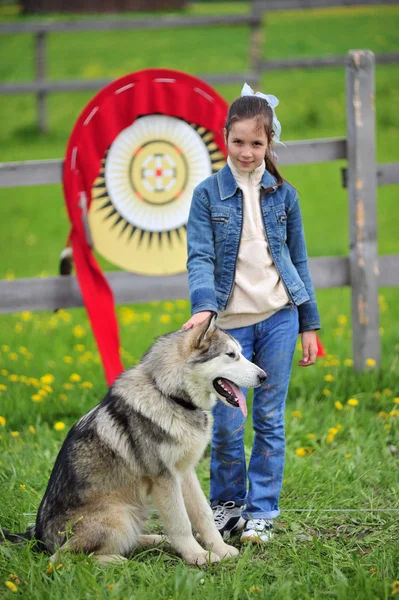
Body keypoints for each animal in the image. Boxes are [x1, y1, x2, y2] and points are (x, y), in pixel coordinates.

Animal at [3, 316, 268, 564]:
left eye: (240, 353)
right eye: (231, 355)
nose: (264, 376)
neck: (168, 394)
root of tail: (38, 537)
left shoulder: (185, 472)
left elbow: (203, 514)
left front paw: (220, 549)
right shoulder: (164, 478)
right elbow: (181, 522)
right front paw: (197, 556)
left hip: (132, 512)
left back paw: (157, 540)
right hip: (118, 515)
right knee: (62, 558)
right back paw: (116, 561)